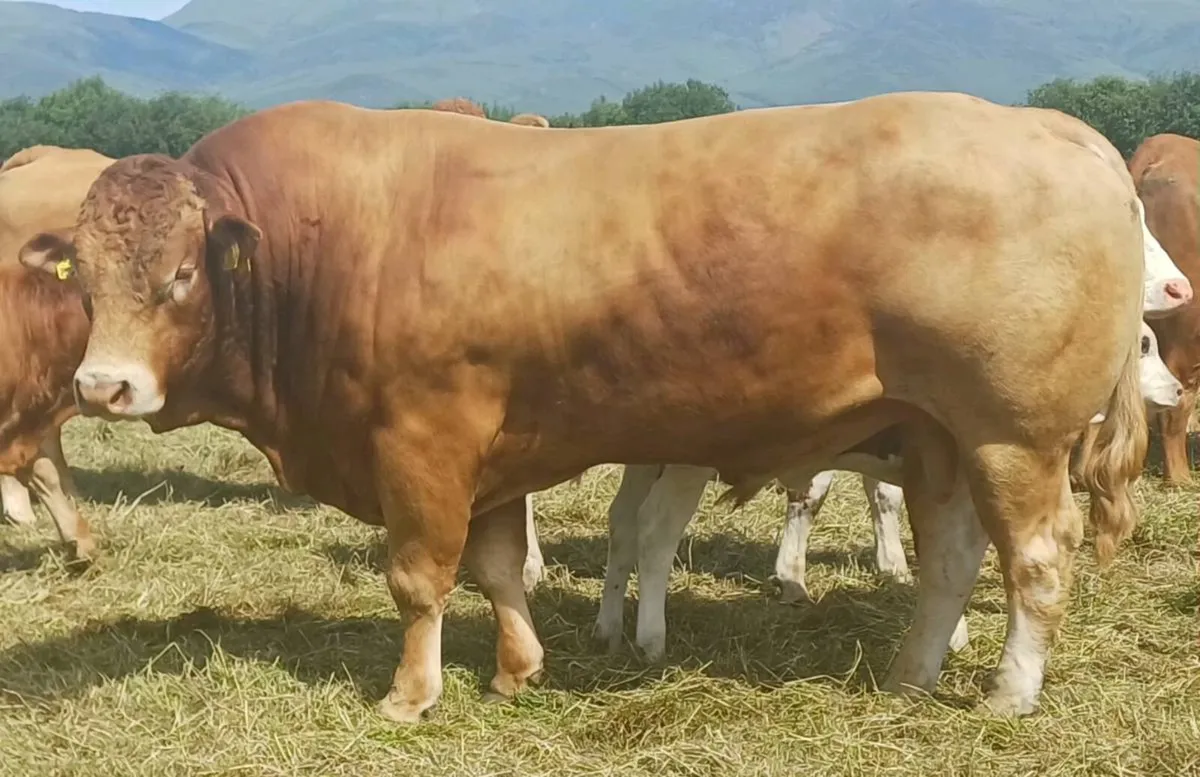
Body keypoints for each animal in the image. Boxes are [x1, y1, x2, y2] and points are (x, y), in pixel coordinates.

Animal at [595, 318, 1183, 663]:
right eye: (1145, 344)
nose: (1179, 389)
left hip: (646, 464)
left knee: (622, 524)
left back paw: (608, 628)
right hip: (685, 465)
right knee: (655, 532)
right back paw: (651, 639)